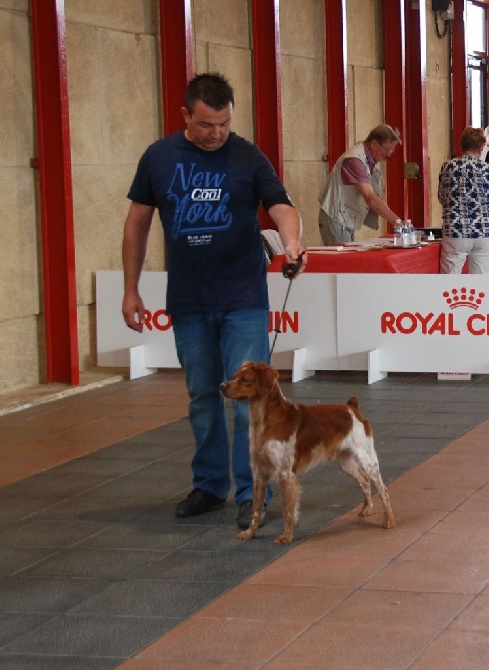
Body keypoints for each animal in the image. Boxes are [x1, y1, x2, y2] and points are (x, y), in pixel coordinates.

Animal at [219, 362, 394, 544]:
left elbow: (288, 510)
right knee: (365, 482)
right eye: (234, 376)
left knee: (383, 489)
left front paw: (287, 536)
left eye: (245, 379)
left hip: (367, 459)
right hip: (347, 463)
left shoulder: (286, 473)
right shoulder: (259, 472)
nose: (221, 386)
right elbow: (256, 509)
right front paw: (250, 532)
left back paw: (388, 520)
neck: (263, 421)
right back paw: (367, 509)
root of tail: (352, 407)